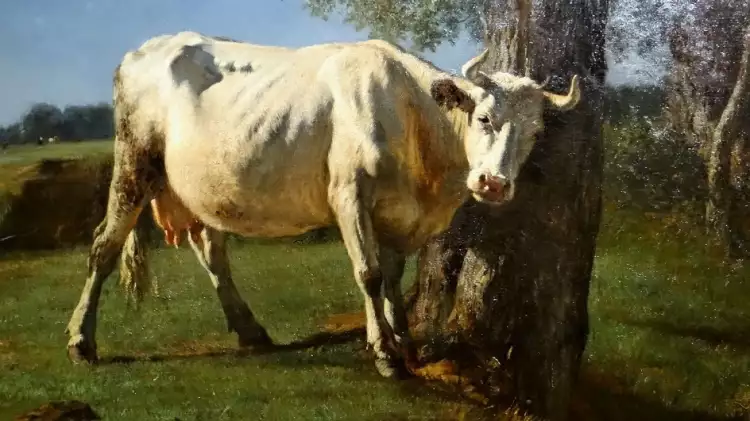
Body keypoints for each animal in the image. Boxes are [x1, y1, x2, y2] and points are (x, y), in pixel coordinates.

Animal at [64, 31, 581, 378]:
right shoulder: (349, 194)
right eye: (484, 117)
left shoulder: (400, 215)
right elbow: (369, 274)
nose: (493, 183)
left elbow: (393, 277)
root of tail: (147, 47)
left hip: (203, 187)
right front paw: (385, 355)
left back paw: (251, 331)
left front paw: (406, 343)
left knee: (211, 252)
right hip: (133, 160)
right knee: (104, 246)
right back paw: (81, 341)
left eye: (535, 133)